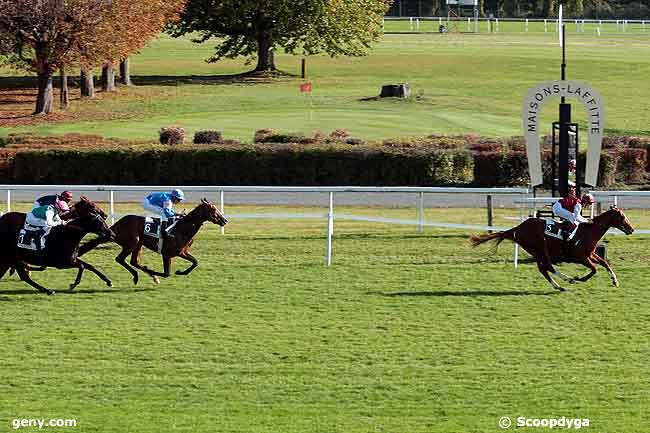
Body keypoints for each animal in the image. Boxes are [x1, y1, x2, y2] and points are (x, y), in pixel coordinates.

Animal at [78, 197, 227, 284]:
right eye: (213, 209)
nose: (225, 220)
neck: (182, 229)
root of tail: (115, 226)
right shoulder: (167, 254)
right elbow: (167, 273)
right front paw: (155, 273)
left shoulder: (181, 252)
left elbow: (195, 262)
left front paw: (181, 272)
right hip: (132, 242)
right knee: (120, 259)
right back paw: (139, 275)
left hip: (138, 244)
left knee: (133, 261)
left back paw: (143, 274)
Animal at [468, 206, 636, 290]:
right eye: (622, 217)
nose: (631, 229)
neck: (590, 230)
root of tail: (517, 228)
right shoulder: (581, 257)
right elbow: (594, 269)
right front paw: (579, 278)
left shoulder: (590, 255)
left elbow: (605, 263)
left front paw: (615, 281)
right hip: (540, 248)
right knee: (547, 266)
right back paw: (566, 281)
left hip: (536, 251)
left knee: (544, 268)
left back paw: (560, 284)